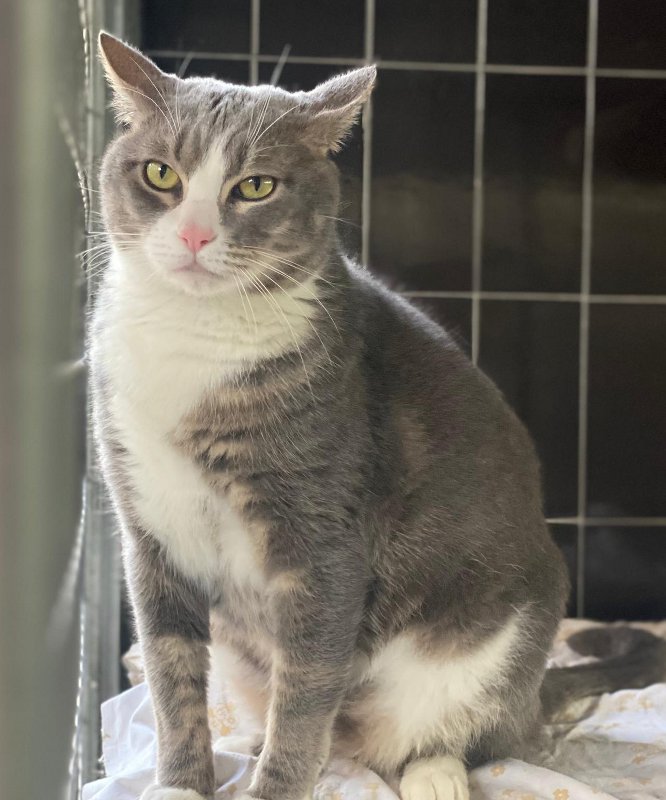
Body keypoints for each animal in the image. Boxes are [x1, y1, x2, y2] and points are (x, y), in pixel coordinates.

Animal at [91, 33, 662, 800]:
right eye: (160, 174)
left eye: (255, 186)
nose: (193, 238)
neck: (194, 341)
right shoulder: (149, 523)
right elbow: (170, 671)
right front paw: (180, 783)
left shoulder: (323, 538)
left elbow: (305, 689)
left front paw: (274, 784)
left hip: (492, 638)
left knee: (479, 736)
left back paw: (434, 773)